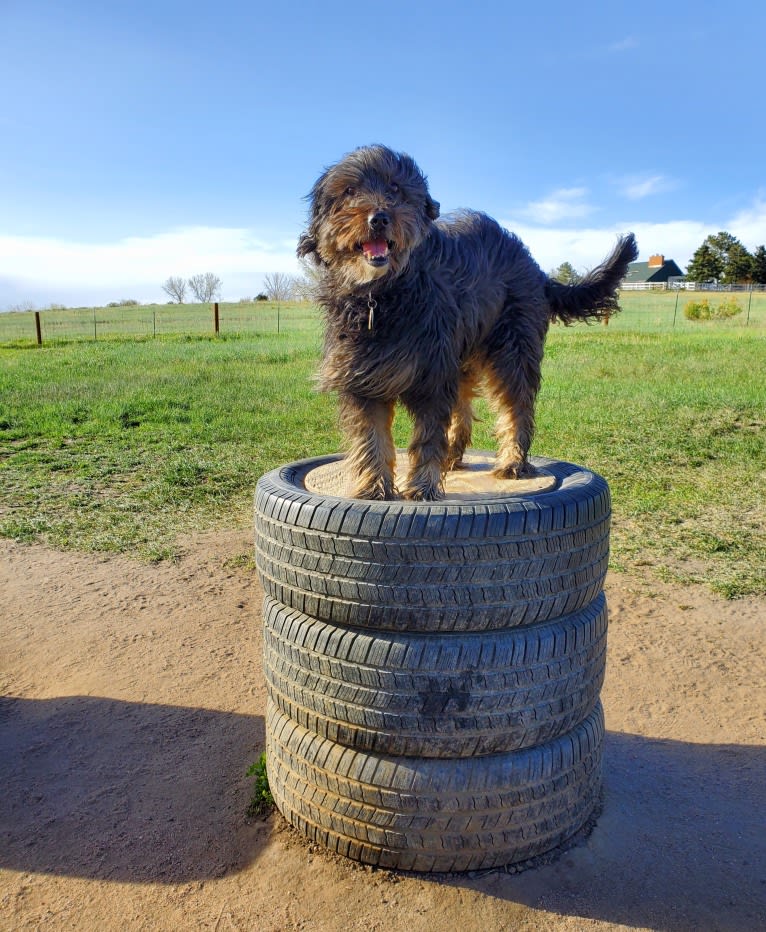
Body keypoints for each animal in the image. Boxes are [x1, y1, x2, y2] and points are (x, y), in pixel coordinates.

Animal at [296, 144, 640, 502]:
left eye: (396, 189)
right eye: (349, 191)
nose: (378, 218)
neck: (383, 296)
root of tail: (535, 268)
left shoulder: (432, 376)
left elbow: (428, 436)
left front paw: (422, 487)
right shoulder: (363, 380)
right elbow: (371, 439)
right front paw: (375, 489)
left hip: (512, 351)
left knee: (516, 407)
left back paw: (512, 461)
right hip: (462, 354)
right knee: (462, 408)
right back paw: (453, 456)